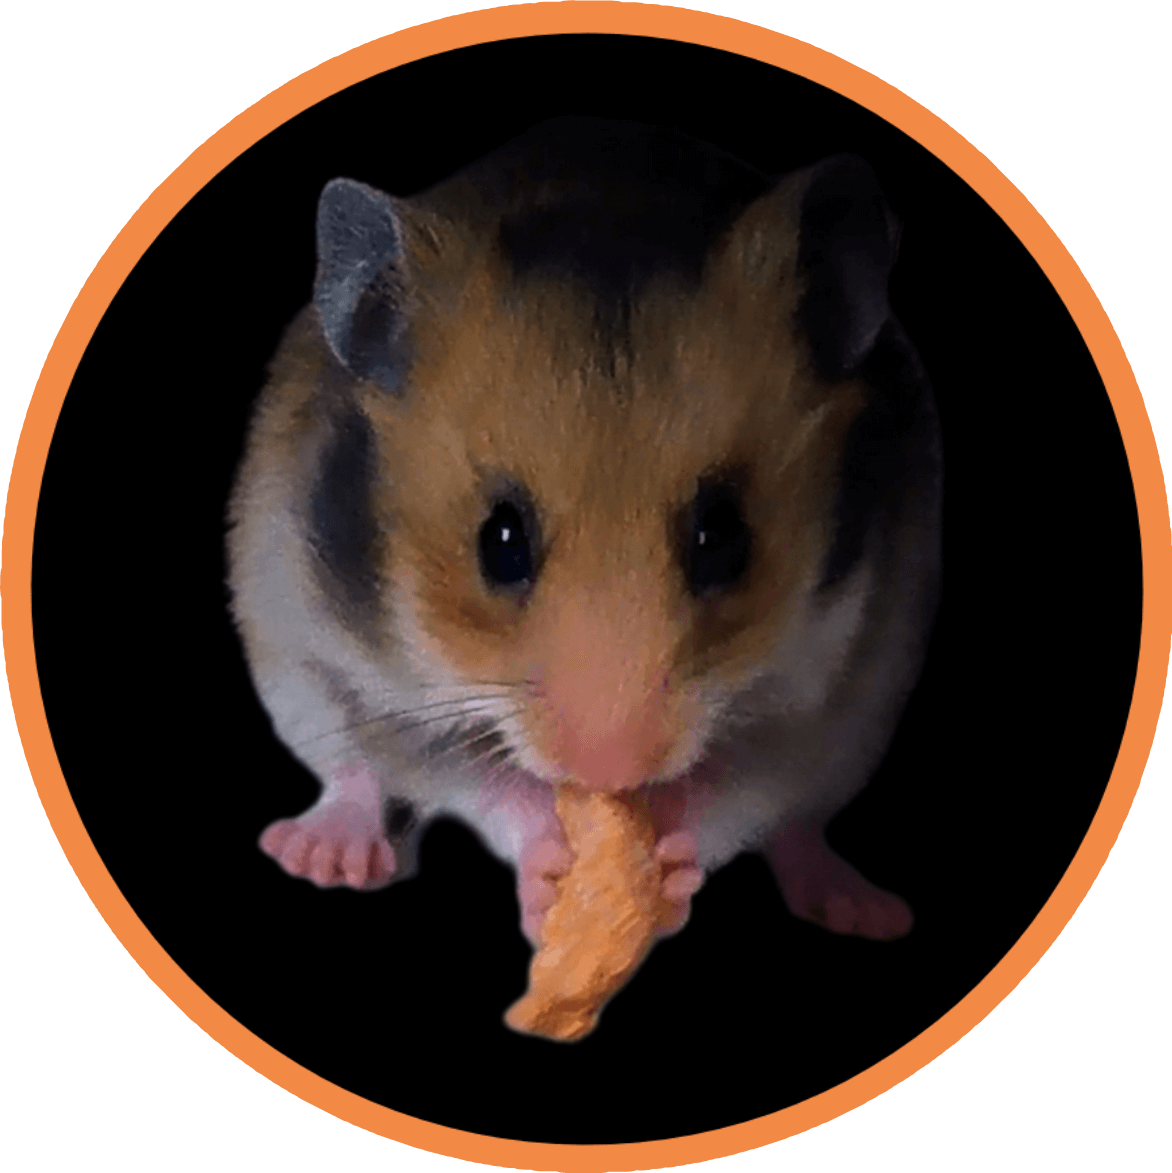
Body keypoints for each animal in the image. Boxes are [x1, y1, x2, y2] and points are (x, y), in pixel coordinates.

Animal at [226, 117, 941, 949]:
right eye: (500, 542)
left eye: (723, 538)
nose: (611, 771)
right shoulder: (377, 684)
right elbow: (468, 772)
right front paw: (551, 870)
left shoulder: (831, 683)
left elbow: (743, 780)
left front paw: (668, 867)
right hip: (293, 669)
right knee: (352, 776)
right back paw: (322, 855)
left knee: (801, 827)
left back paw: (864, 911)